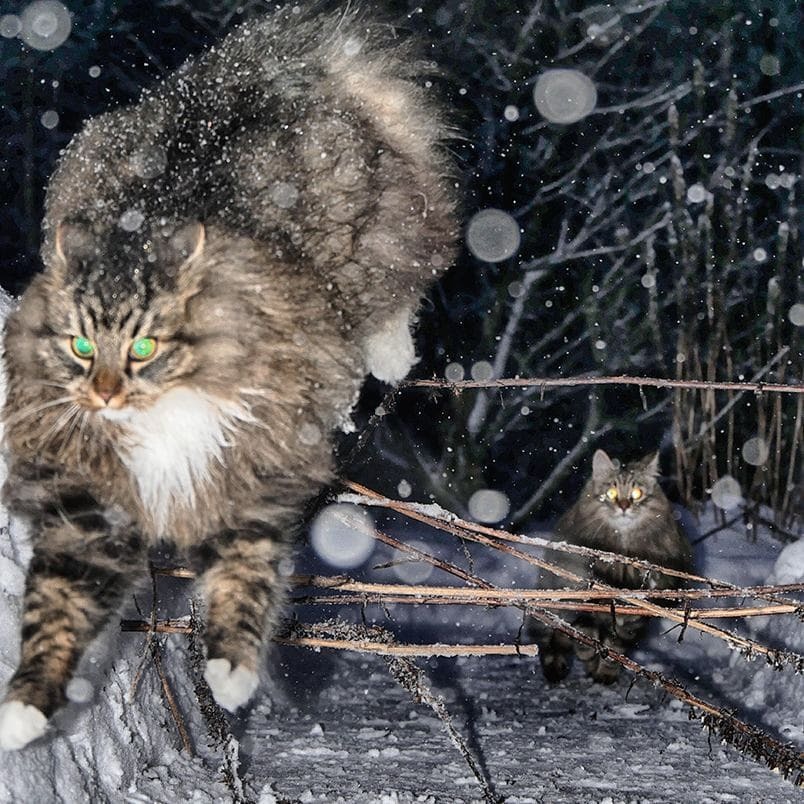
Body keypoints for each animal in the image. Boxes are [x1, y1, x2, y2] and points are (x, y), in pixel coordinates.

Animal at [532, 450, 696, 680]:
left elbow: (615, 647)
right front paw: (587, 654)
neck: (621, 554)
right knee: (554, 636)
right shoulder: (583, 593)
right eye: (611, 493)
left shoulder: (633, 614)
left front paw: (604, 674)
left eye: (637, 493)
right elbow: (584, 631)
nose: (624, 506)